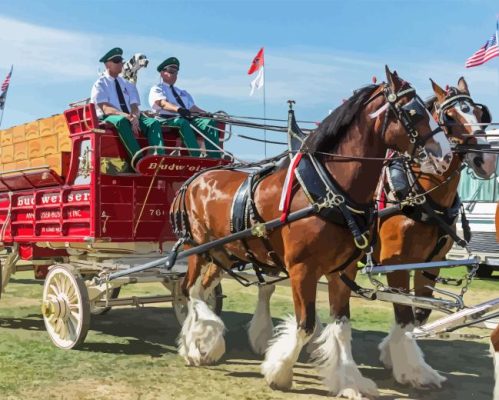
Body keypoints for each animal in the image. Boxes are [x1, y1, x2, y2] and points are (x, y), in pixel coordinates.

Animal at [174, 67, 456, 398]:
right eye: (414, 112)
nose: (446, 155)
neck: (330, 191)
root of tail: (195, 178)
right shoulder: (302, 270)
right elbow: (305, 325)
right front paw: (279, 372)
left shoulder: (342, 271)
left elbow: (342, 326)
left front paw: (349, 380)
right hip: (199, 249)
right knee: (189, 291)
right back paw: (194, 347)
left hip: (225, 254)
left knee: (202, 290)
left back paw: (204, 343)